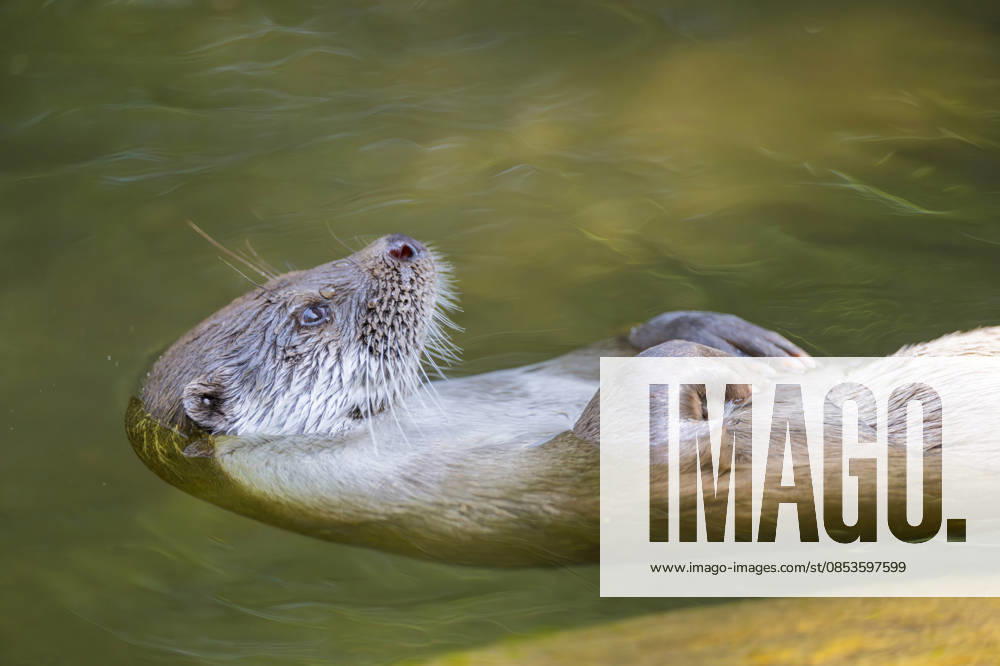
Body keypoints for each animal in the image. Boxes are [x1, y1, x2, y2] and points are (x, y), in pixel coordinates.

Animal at [129, 233, 1000, 566]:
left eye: (298, 271)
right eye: (311, 311)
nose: (398, 244)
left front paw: (719, 333)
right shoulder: (513, 499)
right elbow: (631, 451)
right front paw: (696, 362)